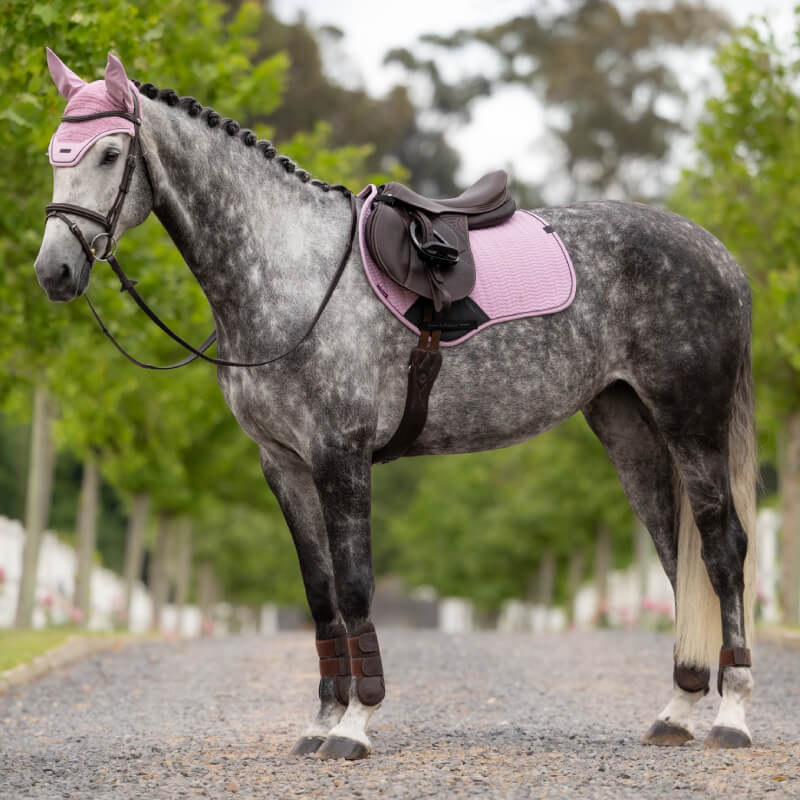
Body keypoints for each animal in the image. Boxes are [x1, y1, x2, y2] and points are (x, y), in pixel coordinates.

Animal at [34, 51, 757, 759]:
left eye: (108, 153)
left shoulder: (341, 454)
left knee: (722, 549)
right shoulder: (283, 464)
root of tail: (719, 253)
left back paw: (733, 716)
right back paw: (677, 711)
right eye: (53, 153)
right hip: (625, 422)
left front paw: (355, 724)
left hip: (692, 421)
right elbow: (320, 593)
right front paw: (322, 720)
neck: (294, 273)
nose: (54, 272)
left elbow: (355, 586)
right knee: (675, 554)